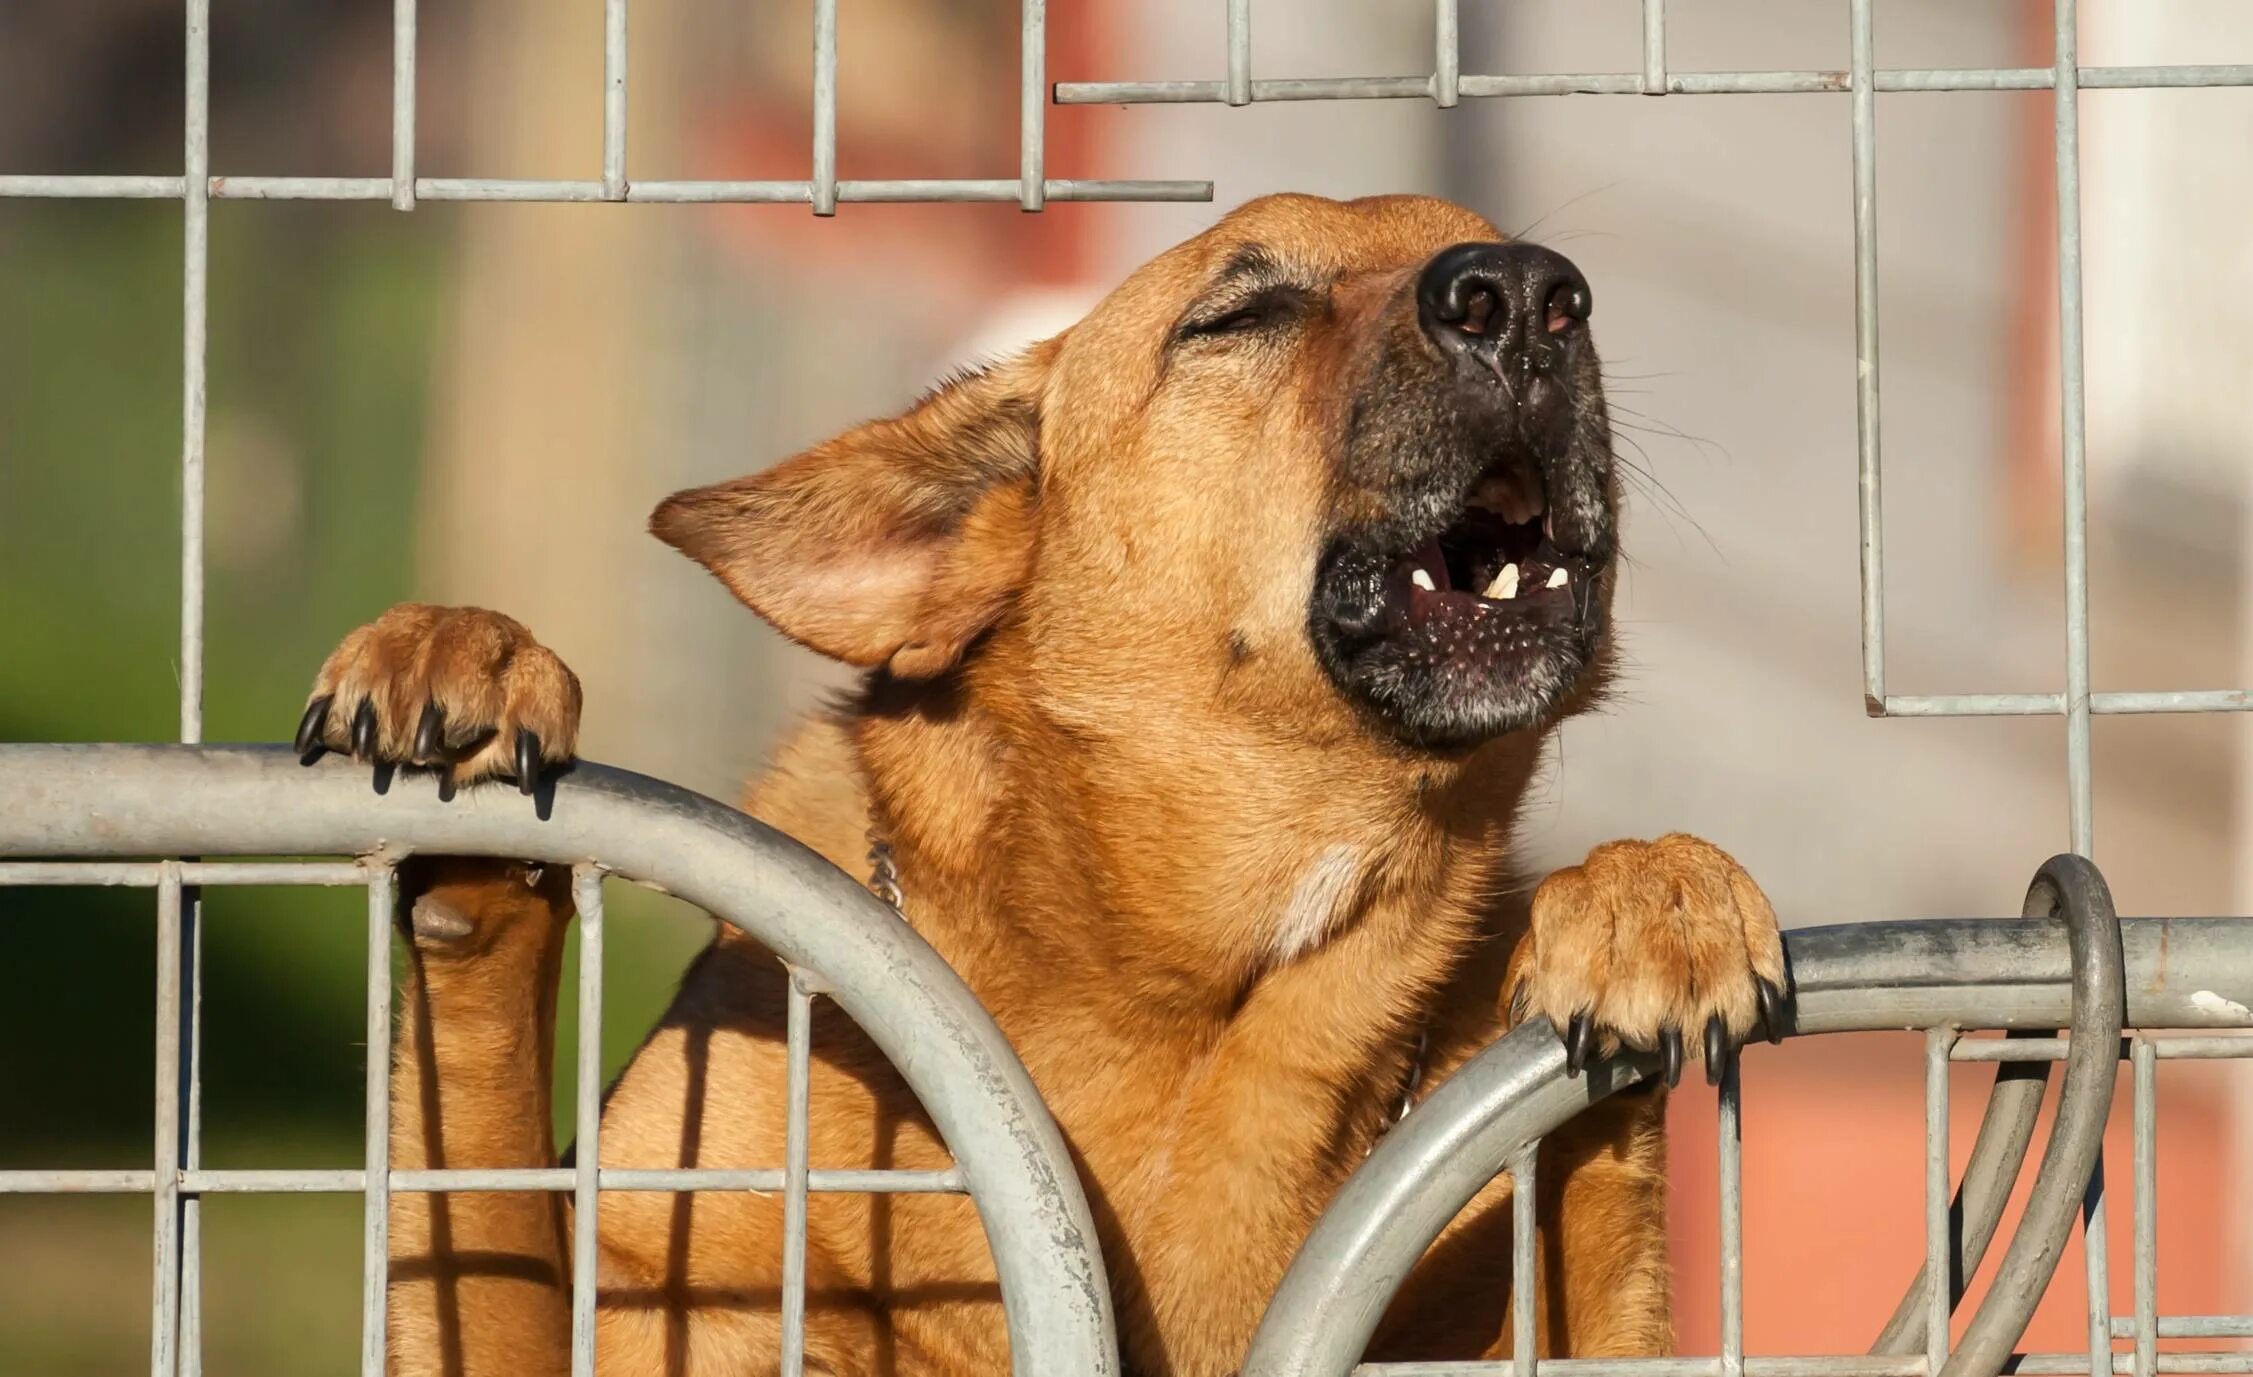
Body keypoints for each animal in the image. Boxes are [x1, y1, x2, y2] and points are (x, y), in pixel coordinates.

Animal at [295, 193, 1775, 1377]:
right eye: (1239, 313)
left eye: (1548, 283)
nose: (1529, 292)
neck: (1190, 1017)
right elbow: (471, 1171)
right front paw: (467, 665)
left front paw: (1652, 898)